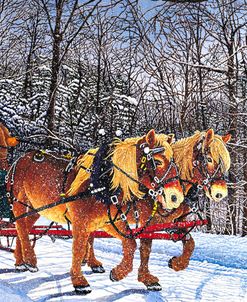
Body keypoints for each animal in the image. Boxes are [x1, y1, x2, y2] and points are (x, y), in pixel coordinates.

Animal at [4, 129, 184, 294]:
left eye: (175, 163)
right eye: (158, 162)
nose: (176, 197)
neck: (103, 183)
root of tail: (20, 159)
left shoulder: (108, 221)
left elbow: (130, 243)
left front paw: (118, 273)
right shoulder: (81, 222)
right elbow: (79, 248)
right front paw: (79, 281)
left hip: (36, 208)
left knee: (23, 228)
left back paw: (21, 261)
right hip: (19, 202)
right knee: (21, 227)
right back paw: (29, 259)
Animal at [83, 129, 232, 290]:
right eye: (209, 159)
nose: (220, 193)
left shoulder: (175, 221)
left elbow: (190, 243)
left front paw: (177, 263)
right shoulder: (147, 222)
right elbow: (145, 248)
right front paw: (145, 278)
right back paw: (90, 261)